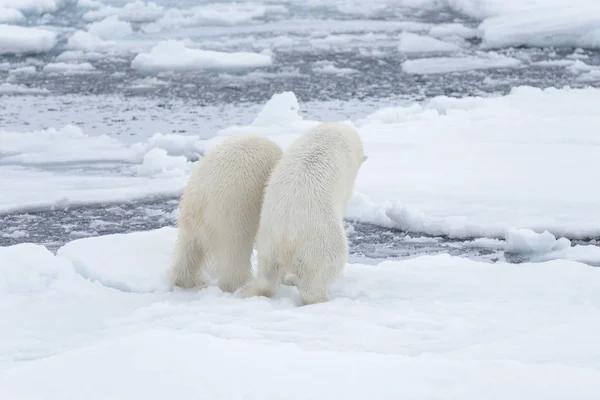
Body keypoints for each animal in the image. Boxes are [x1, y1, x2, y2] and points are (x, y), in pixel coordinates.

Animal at [168, 136, 282, 292]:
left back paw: (185, 281)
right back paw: (239, 284)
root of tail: (199, 200)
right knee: (234, 251)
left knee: (188, 248)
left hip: (188, 219)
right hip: (231, 213)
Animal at [243, 120, 366, 304]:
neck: (330, 133)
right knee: (322, 272)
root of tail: (287, 236)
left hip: (267, 240)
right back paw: (320, 298)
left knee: (267, 272)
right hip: (321, 242)